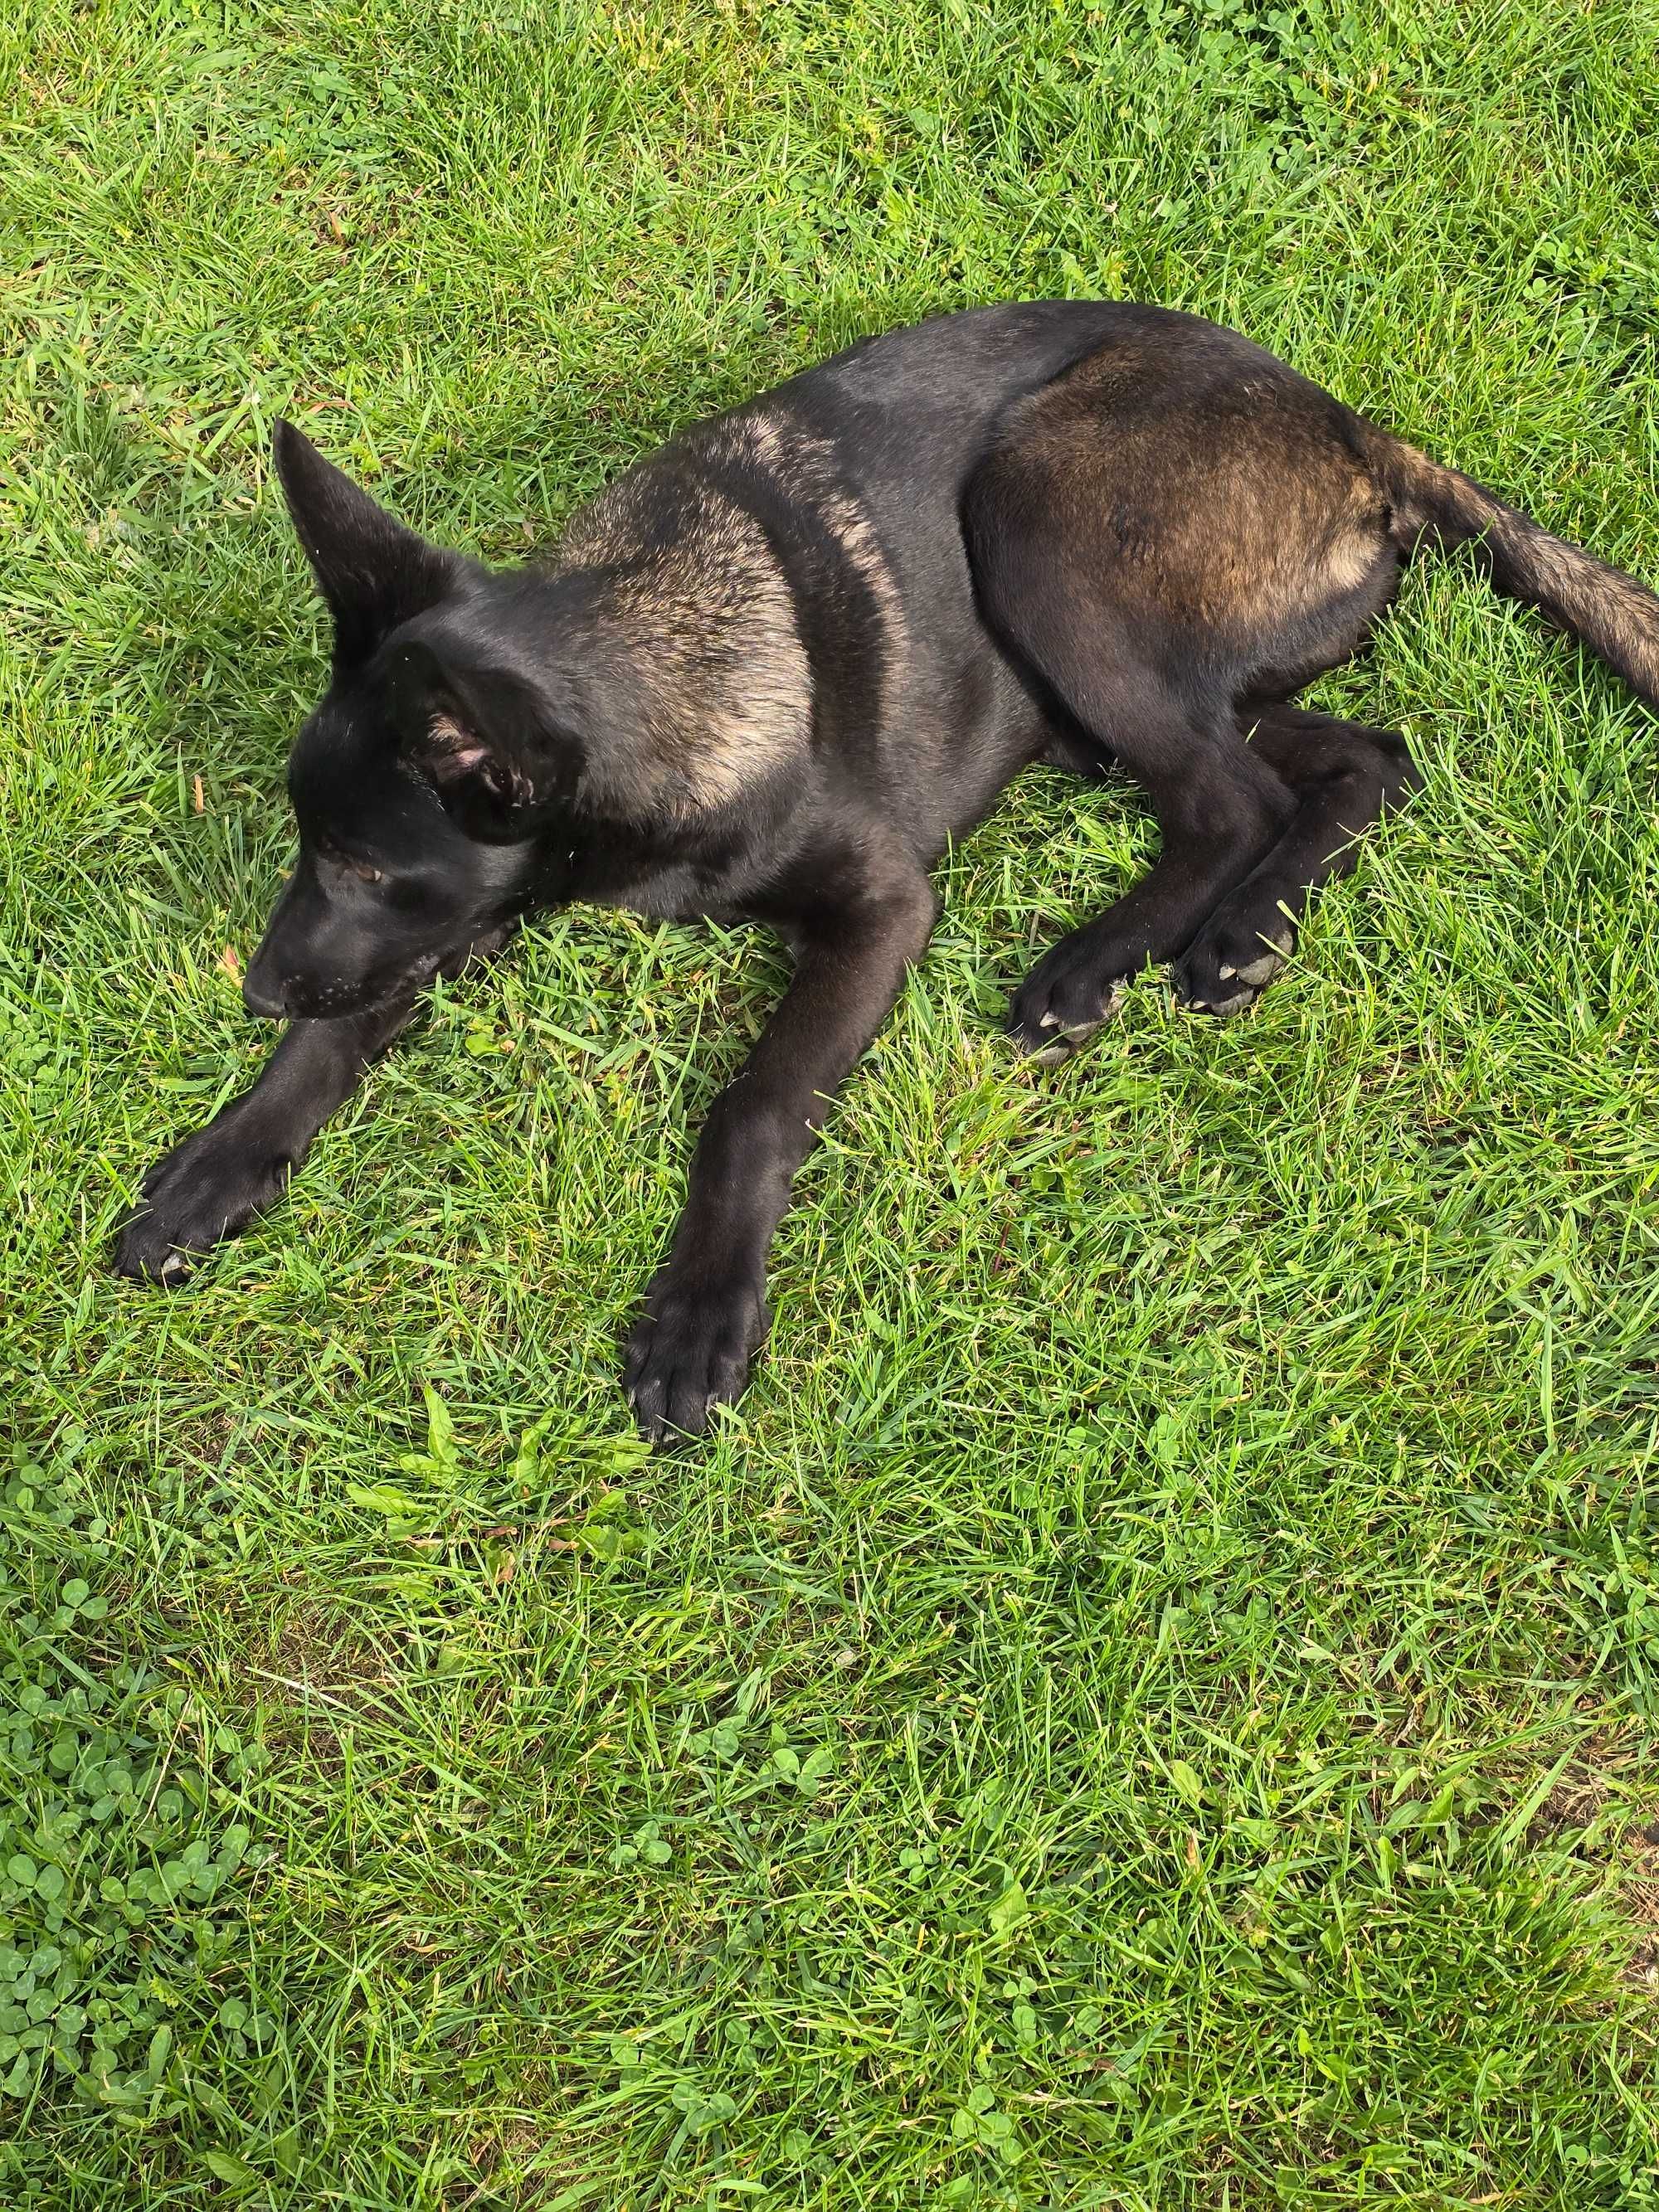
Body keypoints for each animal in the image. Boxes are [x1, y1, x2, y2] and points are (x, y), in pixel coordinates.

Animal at [117, 303, 1659, 1441]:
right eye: (312, 845)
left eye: (369, 861)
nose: (253, 988)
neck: (650, 651)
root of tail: (1349, 429)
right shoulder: (475, 911)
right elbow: (338, 1038)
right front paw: (221, 1161)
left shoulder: (880, 907)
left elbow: (749, 1103)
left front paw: (700, 1314)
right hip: (1106, 694)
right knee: (1351, 764)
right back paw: (1240, 938)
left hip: (1041, 522)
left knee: (1228, 802)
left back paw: (1099, 965)